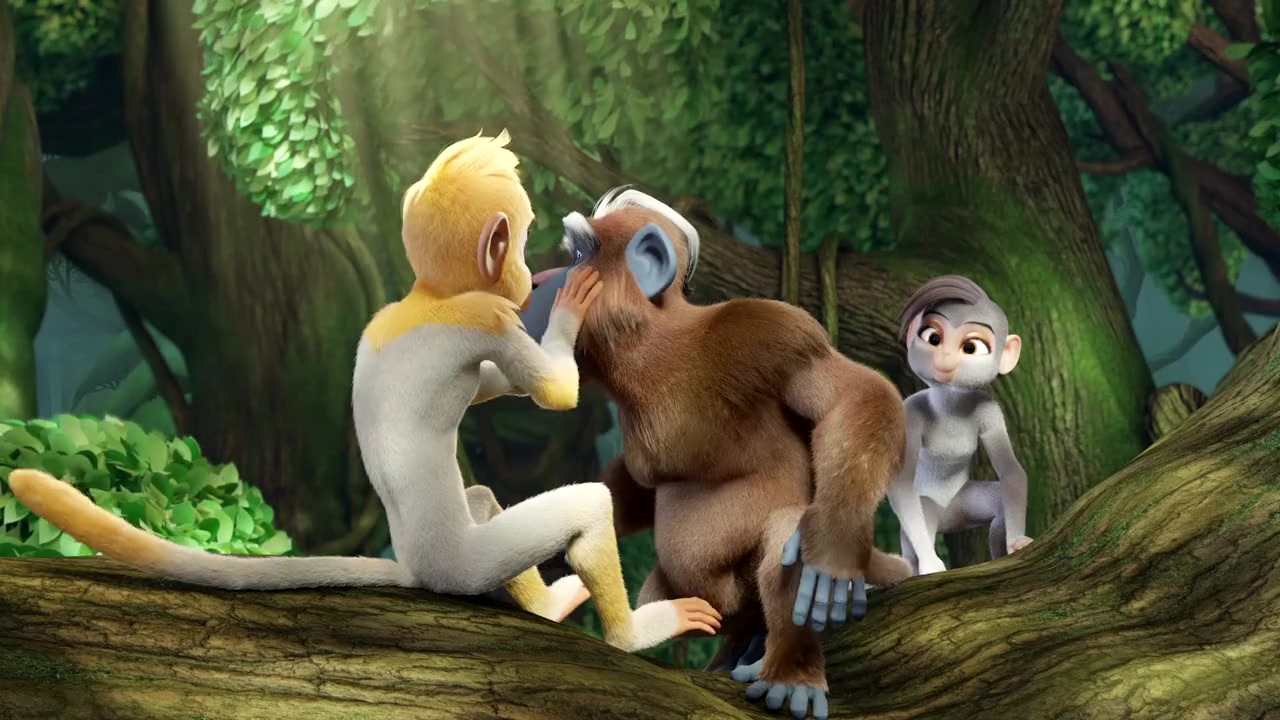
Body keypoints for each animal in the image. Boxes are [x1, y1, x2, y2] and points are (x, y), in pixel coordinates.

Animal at [7, 132, 721, 654]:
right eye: (518, 244)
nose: (531, 277)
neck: (425, 295)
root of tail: (415, 569)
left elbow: (498, 387)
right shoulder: (484, 318)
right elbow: (549, 391)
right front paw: (571, 308)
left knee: (483, 497)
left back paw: (545, 604)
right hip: (468, 563)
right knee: (584, 504)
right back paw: (624, 632)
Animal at [516, 187, 912, 720]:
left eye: (578, 255)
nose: (538, 281)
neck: (652, 349)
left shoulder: (772, 334)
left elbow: (852, 397)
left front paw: (831, 544)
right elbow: (633, 488)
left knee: (785, 533)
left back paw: (789, 669)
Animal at [886, 274, 1032, 576]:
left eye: (971, 348)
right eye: (933, 338)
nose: (944, 359)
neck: (950, 403)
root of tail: (947, 518)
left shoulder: (990, 411)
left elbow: (1011, 472)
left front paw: (1017, 542)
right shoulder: (910, 412)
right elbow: (901, 483)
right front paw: (931, 564)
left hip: (962, 506)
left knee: (999, 503)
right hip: (929, 511)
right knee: (917, 526)